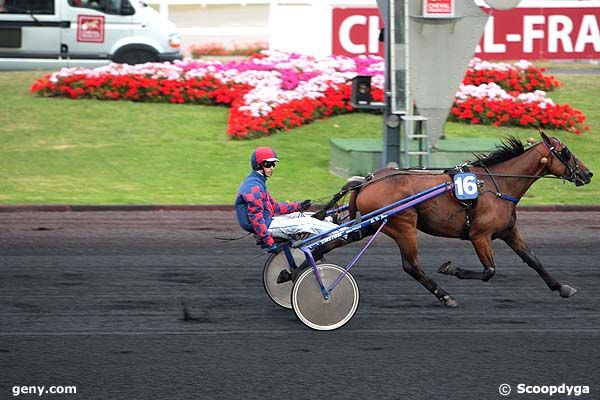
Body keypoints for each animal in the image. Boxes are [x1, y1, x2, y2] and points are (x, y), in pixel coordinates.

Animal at [338, 131, 592, 306]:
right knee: (411, 266)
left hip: (372, 225)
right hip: (403, 225)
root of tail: (366, 181)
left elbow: (533, 259)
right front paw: (451, 269)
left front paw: (561, 287)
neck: (498, 184)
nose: (588, 174)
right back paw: (445, 296)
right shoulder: (479, 235)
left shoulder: (508, 231)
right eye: (566, 151)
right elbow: (489, 271)